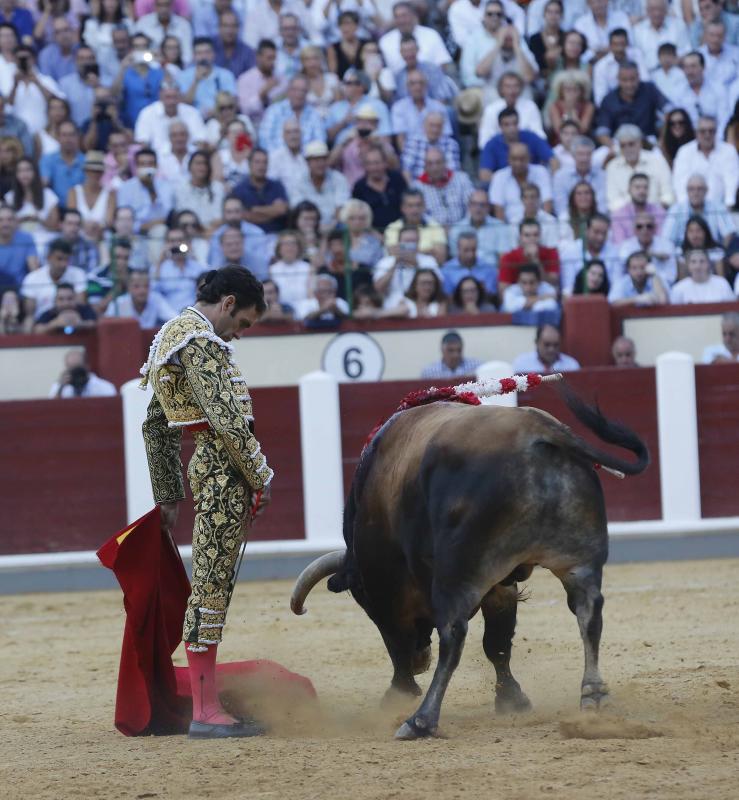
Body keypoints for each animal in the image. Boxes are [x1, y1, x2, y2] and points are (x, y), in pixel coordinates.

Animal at [292, 390, 652, 740]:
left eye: (361, 597)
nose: (420, 660)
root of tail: (541, 431)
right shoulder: (502, 582)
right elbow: (498, 643)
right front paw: (512, 699)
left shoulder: (390, 589)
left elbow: (397, 639)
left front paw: (399, 691)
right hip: (579, 559)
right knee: (588, 613)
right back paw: (593, 697)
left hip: (458, 574)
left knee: (453, 633)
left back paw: (421, 721)